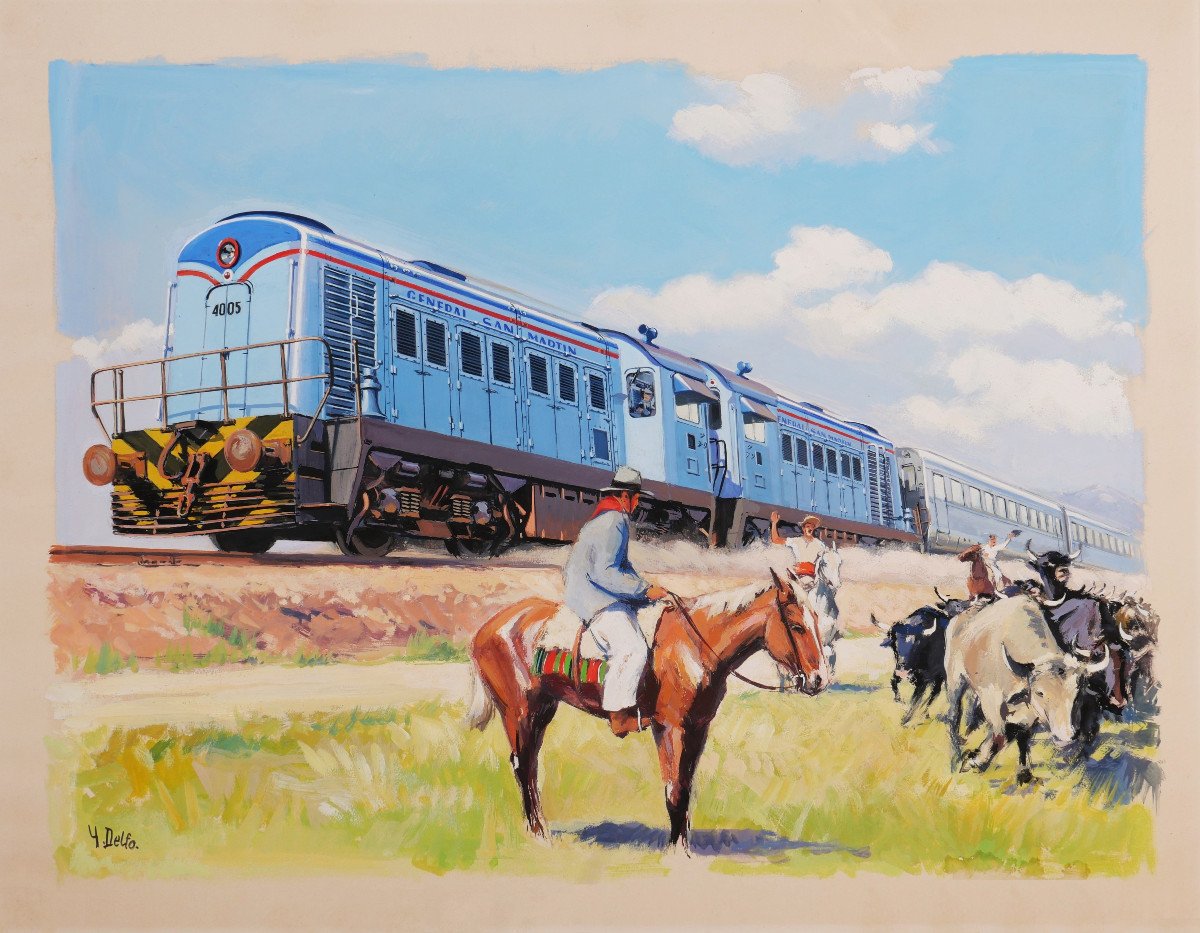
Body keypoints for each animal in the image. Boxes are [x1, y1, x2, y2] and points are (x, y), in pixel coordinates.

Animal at [463, 566, 830, 849]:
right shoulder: (670, 728)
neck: (694, 645)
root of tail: (487, 626)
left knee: (531, 767)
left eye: (816, 620)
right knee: (522, 766)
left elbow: (684, 788)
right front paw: (675, 851)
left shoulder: (697, 729)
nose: (819, 679)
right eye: (796, 626)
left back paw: (539, 829)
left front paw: (682, 845)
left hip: (541, 711)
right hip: (519, 713)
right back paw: (538, 834)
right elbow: (674, 791)